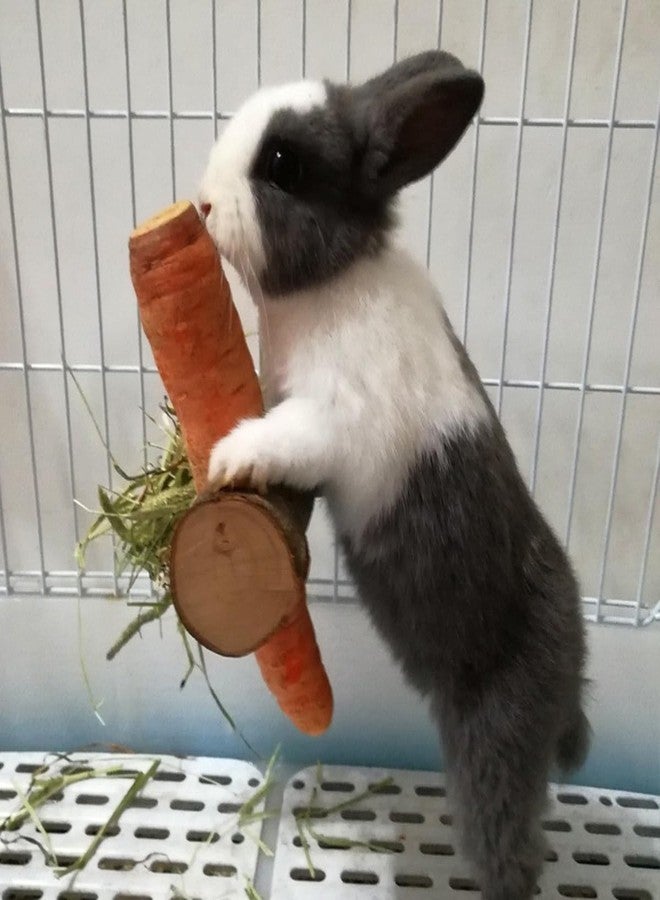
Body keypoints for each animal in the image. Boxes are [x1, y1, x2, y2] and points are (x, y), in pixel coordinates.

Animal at [199, 50, 589, 900]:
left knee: (510, 846)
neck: (334, 280)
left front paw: (228, 458)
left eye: (283, 165)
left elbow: (284, 437)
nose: (203, 204)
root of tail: (574, 654)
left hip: (492, 743)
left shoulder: (331, 418)